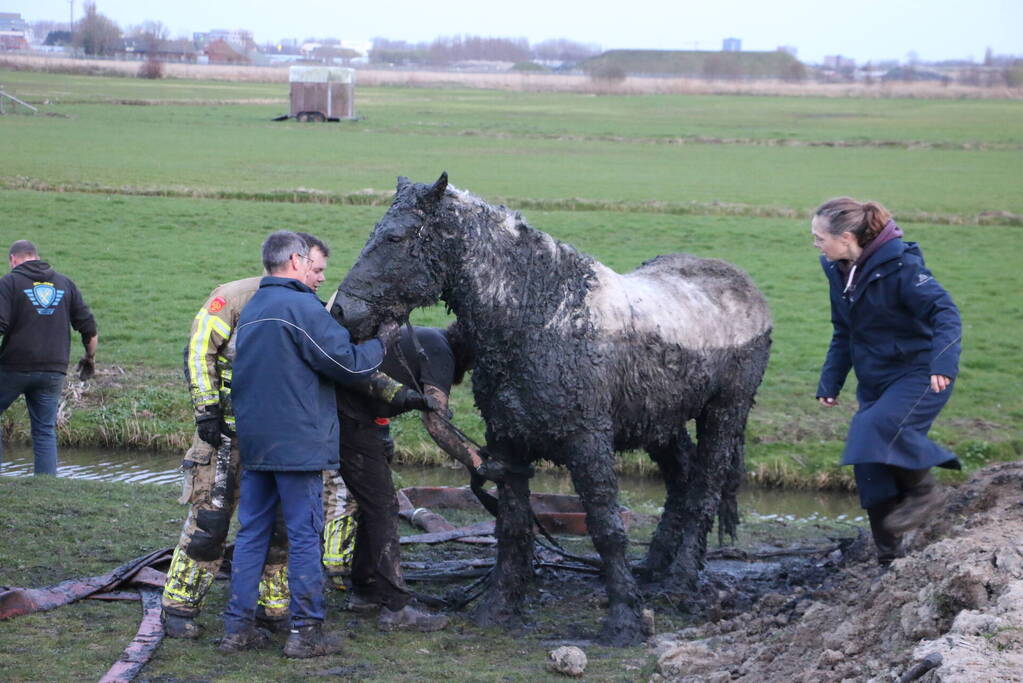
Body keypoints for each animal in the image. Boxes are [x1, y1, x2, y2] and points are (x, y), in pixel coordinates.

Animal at [331, 173, 769, 642]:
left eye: (395, 237)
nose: (341, 310)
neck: (542, 318)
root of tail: (747, 289)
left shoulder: (588, 441)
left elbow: (606, 528)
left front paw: (624, 621)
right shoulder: (507, 444)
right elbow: (514, 525)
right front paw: (499, 607)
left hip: (724, 413)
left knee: (705, 490)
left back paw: (681, 580)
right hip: (660, 422)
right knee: (681, 480)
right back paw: (653, 567)